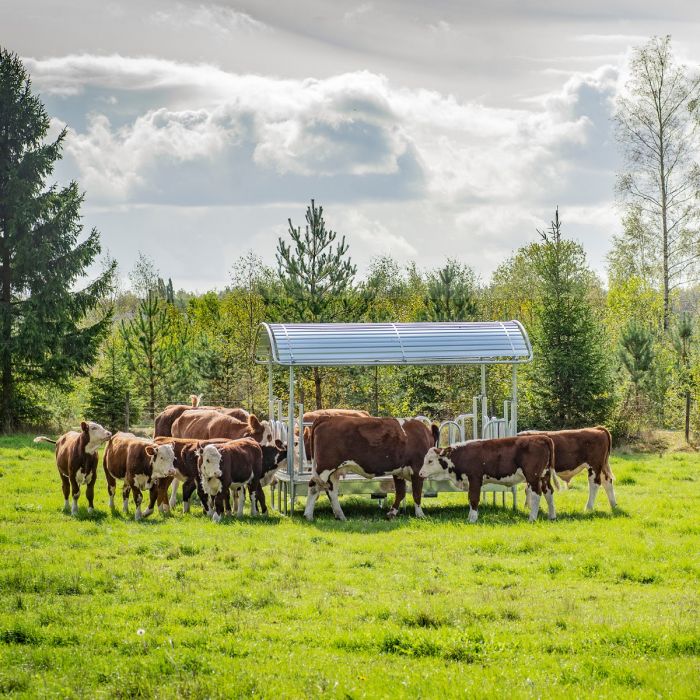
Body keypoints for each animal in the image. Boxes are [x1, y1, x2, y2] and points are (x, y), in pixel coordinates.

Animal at [304, 416, 438, 520]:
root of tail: (326, 417)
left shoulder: (398, 471)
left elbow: (400, 492)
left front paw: (392, 513)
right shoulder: (417, 469)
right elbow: (417, 493)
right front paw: (420, 515)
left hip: (334, 472)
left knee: (331, 490)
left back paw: (340, 515)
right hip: (324, 467)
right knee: (314, 487)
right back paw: (308, 516)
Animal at [416, 434, 556, 524]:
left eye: (430, 461)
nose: (420, 473)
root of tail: (542, 437)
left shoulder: (475, 478)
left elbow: (473, 498)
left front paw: (472, 519)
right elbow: (470, 499)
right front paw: (470, 517)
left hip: (533, 476)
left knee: (536, 494)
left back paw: (532, 518)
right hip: (544, 475)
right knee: (548, 492)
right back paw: (552, 516)